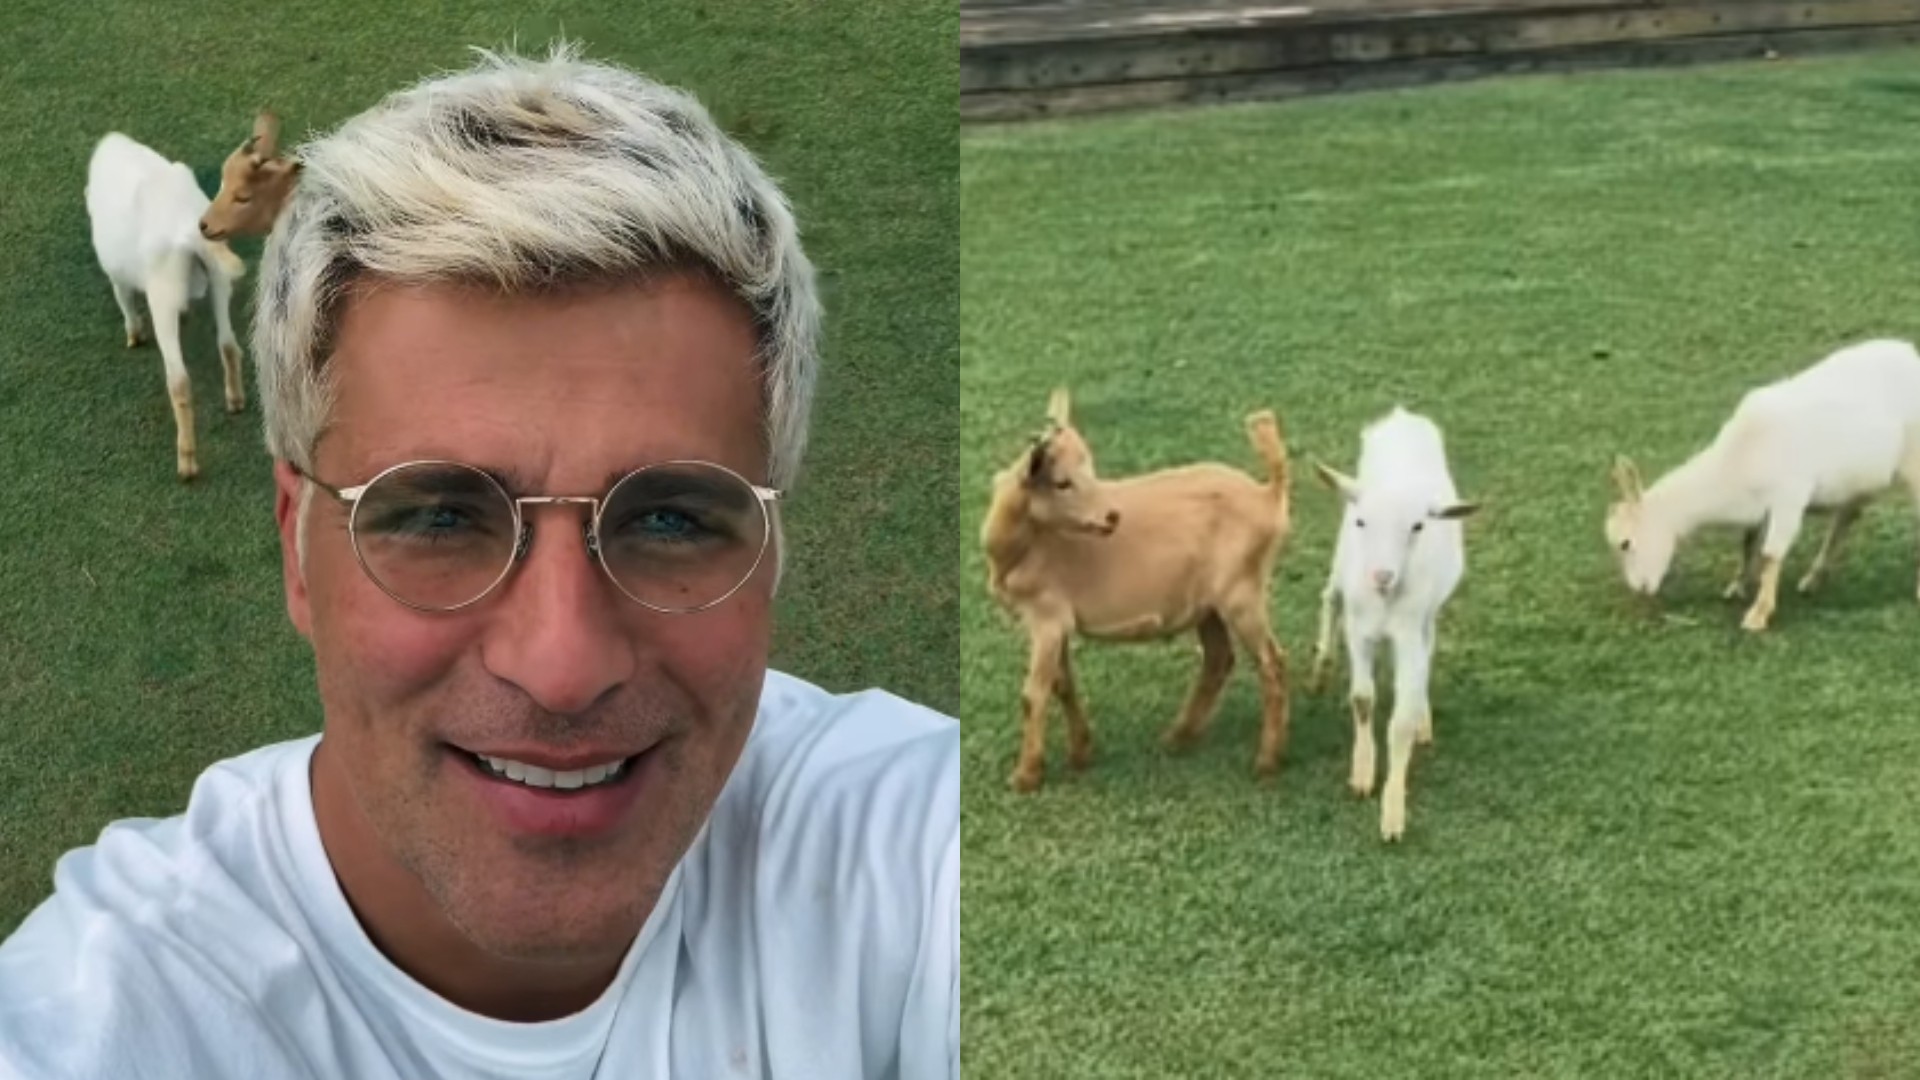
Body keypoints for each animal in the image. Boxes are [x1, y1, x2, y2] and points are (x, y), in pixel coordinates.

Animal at [86, 132, 249, 481]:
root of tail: (188, 231)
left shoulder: (118, 276)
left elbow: (126, 304)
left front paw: (134, 336)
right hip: (219, 280)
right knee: (228, 345)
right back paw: (235, 399)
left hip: (162, 298)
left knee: (179, 381)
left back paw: (186, 463)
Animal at [982, 388, 1293, 792]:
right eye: (1062, 481)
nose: (1111, 516)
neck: (1023, 545)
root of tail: (1268, 493)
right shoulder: (1055, 622)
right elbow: (1062, 685)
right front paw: (1080, 753)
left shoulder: (1045, 618)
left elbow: (1033, 694)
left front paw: (1025, 776)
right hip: (1209, 605)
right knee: (1218, 659)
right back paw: (1178, 737)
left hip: (1243, 594)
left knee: (1272, 664)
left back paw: (1266, 761)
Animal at [1308, 406, 1479, 842]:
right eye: (1362, 522)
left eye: (1418, 526)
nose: (1381, 575)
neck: (1384, 603)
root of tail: (1402, 415)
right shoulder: (1358, 630)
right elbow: (1362, 698)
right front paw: (1362, 775)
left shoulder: (1409, 632)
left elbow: (1400, 720)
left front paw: (1392, 813)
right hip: (1340, 565)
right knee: (1329, 597)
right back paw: (1320, 670)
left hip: (1429, 611)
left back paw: (1423, 717)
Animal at [1607, 338, 1920, 631]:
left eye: (1625, 543)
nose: (1640, 590)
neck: (1733, 467)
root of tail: (1910, 353)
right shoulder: (1758, 509)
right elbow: (1748, 545)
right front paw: (1738, 586)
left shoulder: (1789, 500)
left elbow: (1771, 554)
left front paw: (1759, 614)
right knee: (1845, 518)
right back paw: (1814, 578)